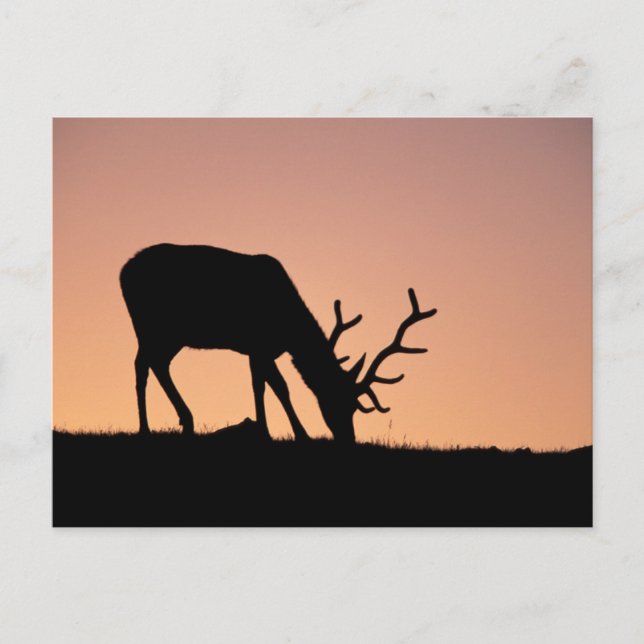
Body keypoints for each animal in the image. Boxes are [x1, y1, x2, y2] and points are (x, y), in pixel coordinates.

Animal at [120, 243, 437, 444]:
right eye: (342, 403)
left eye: (356, 407)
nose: (348, 439)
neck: (287, 326)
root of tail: (123, 271)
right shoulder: (258, 344)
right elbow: (271, 386)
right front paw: (282, 432)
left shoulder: (261, 350)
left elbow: (270, 385)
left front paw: (282, 431)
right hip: (152, 325)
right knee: (143, 364)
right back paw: (150, 427)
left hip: (168, 334)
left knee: (154, 363)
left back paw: (179, 421)